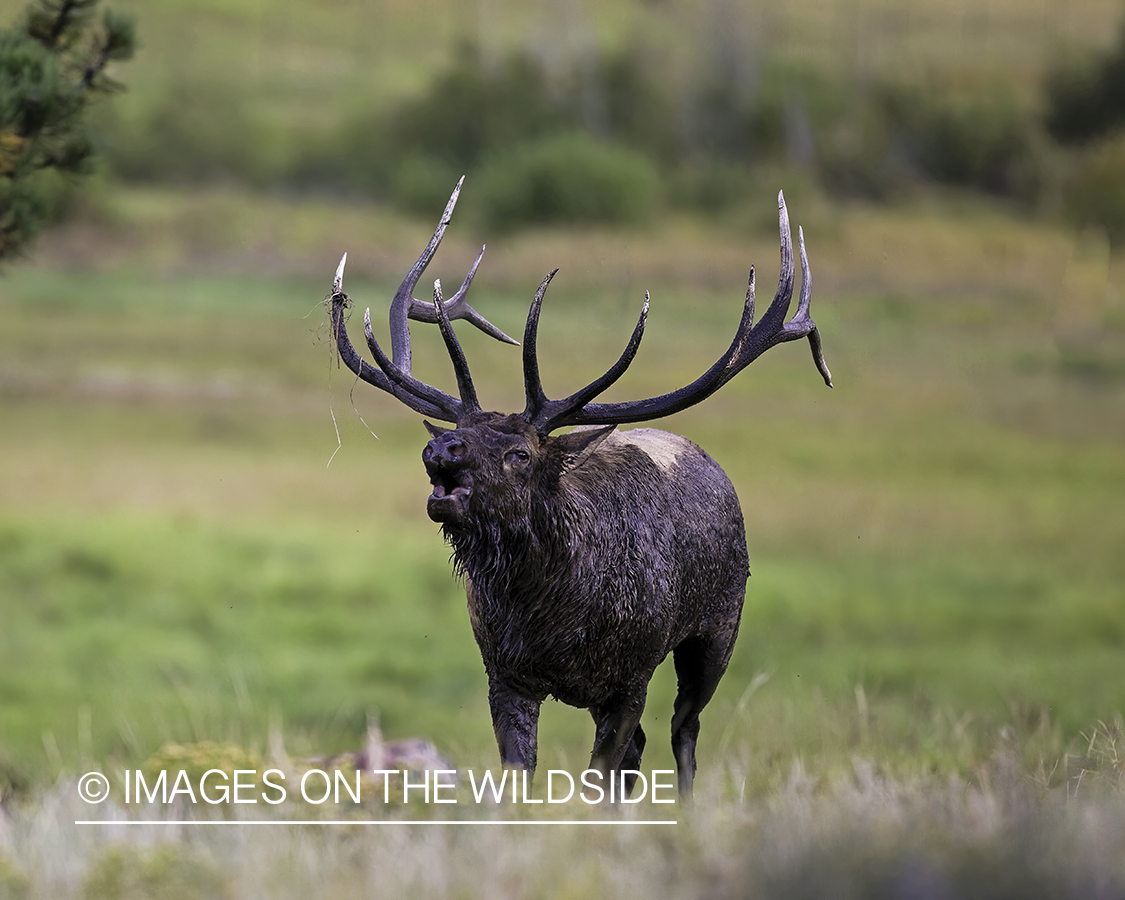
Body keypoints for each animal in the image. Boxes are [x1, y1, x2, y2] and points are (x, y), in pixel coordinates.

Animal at [326, 178, 828, 796]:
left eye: (520, 454)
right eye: (454, 434)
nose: (441, 449)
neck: (554, 614)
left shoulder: (631, 677)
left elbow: (600, 775)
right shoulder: (506, 675)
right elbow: (522, 777)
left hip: (717, 629)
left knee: (683, 730)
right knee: (642, 749)